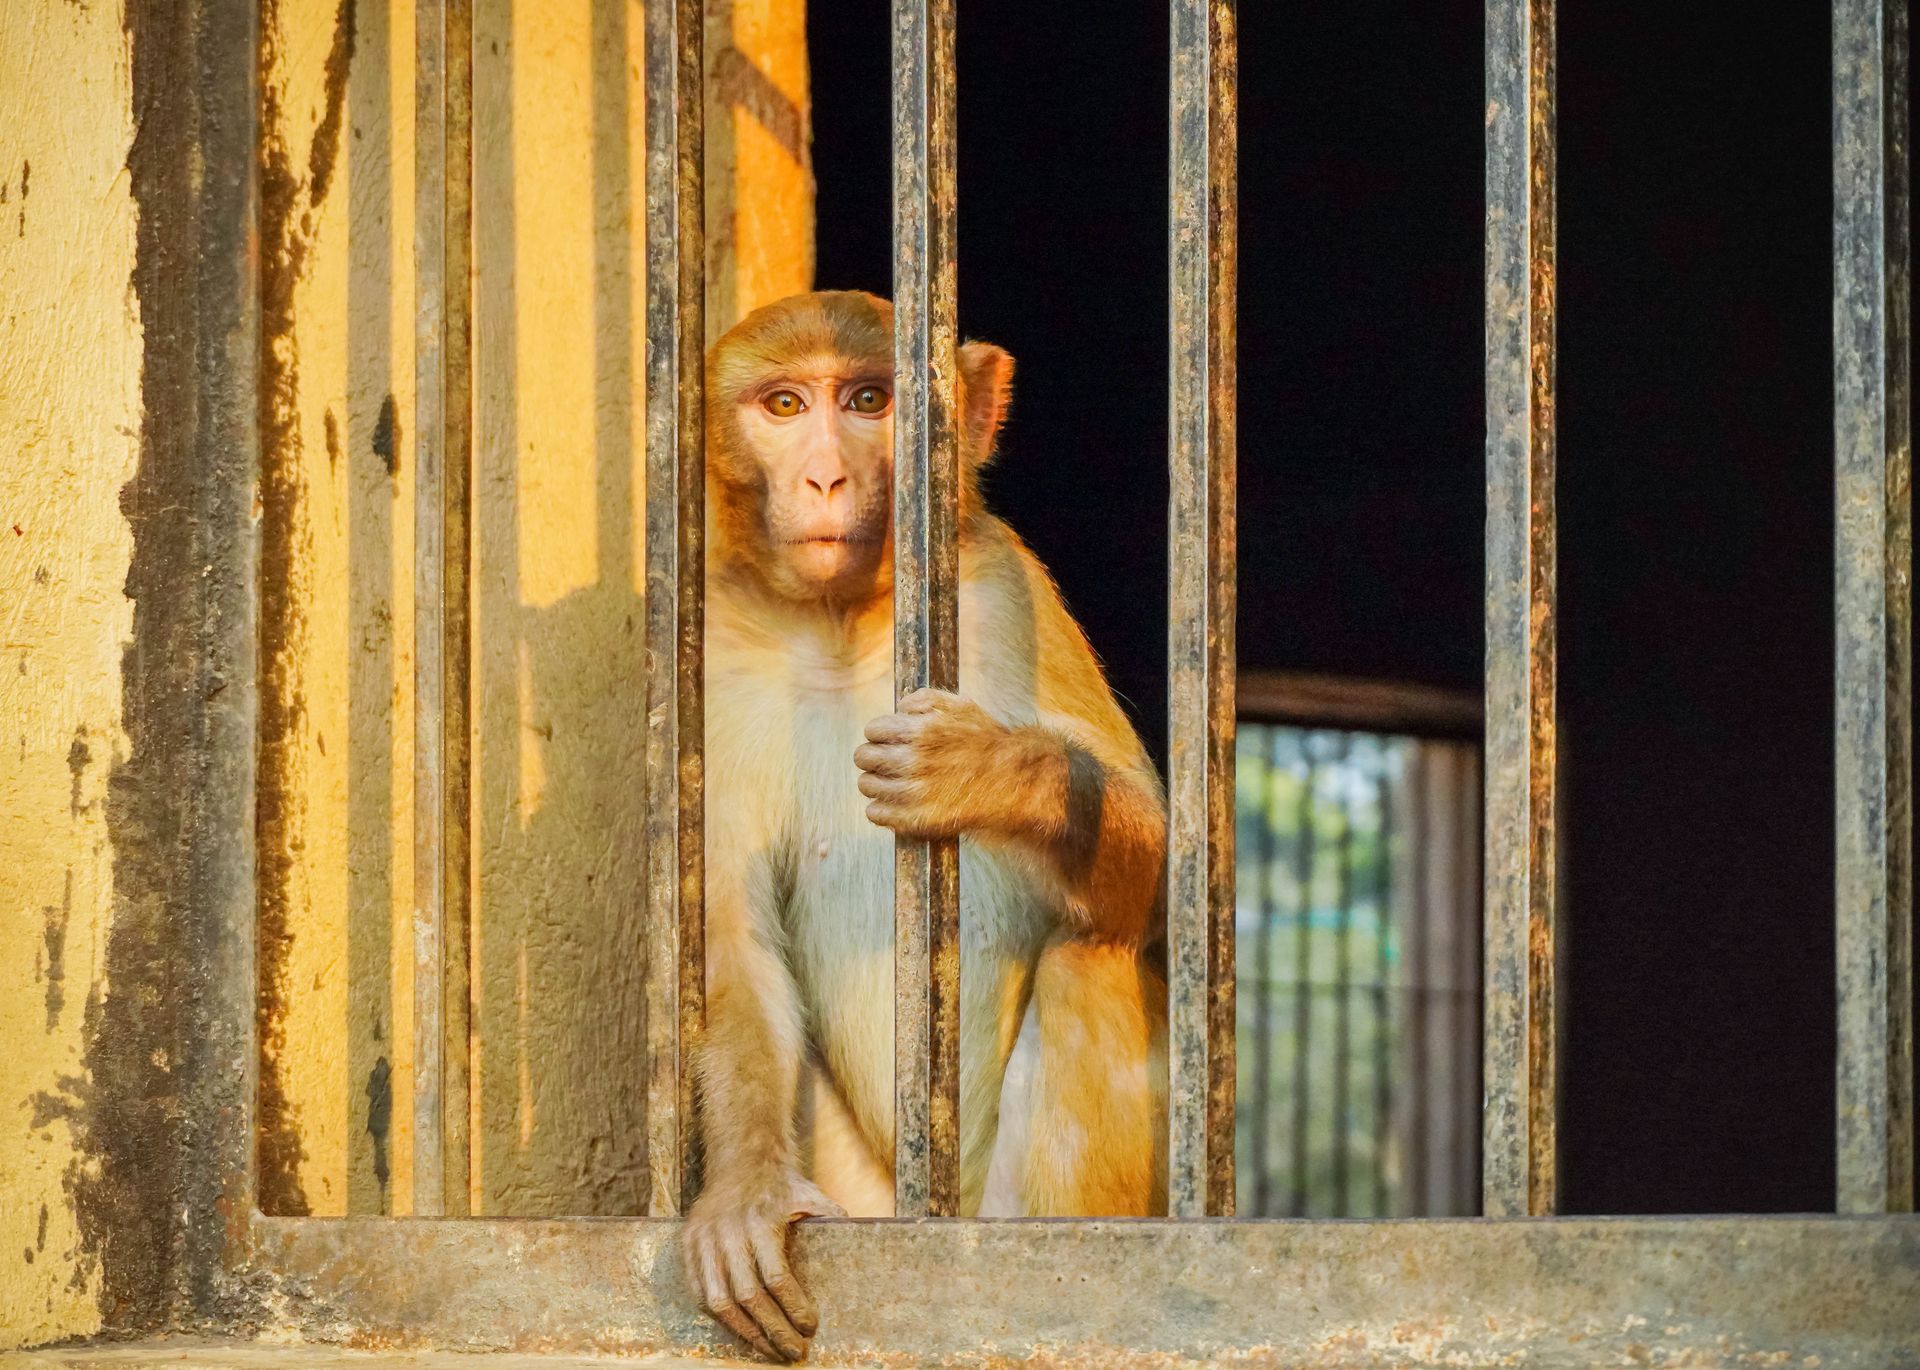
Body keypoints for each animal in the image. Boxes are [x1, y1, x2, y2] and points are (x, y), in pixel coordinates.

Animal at [685, 290, 1168, 1362]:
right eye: (785, 405)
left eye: (869, 401)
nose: (825, 476)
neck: (841, 625)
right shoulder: (719, 658)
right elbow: (729, 934)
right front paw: (743, 1194)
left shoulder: (1002, 586)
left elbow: (1165, 875)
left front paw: (989, 770)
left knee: (1086, 955)